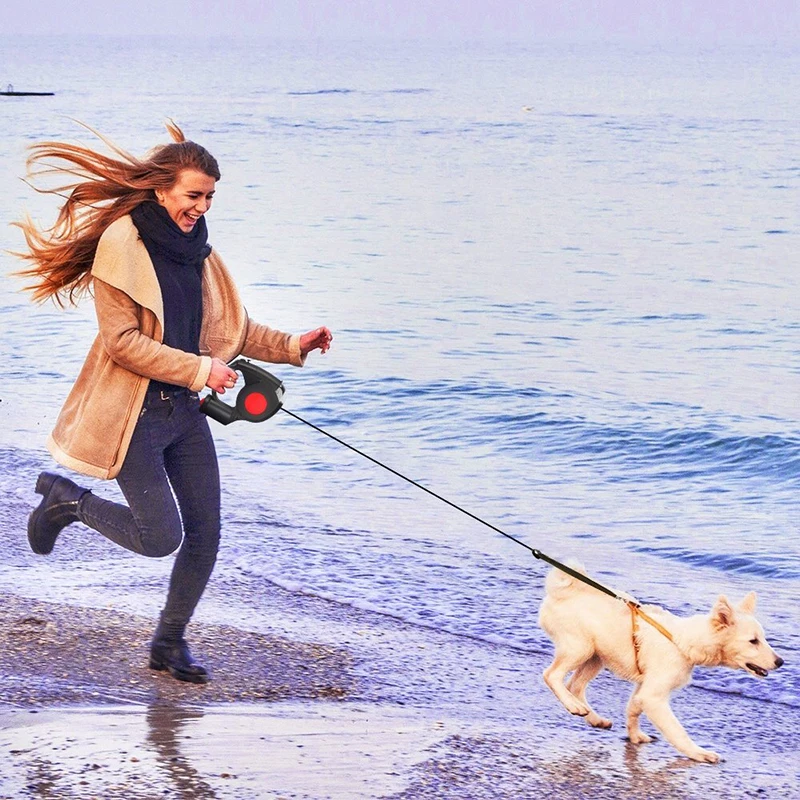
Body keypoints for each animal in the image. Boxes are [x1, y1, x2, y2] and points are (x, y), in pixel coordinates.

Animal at [536, 564, 780, 764]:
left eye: (762, 638)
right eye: (753, 641)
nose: (781, 661)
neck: (683, 641)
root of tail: (562, 592)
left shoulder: (644, 689)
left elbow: (633, 710)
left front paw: (635, 736)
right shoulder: (654, 696)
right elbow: (677, 730)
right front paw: (698, 753)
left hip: (597, 656)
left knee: (575, 685)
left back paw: (593, 717)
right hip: (580, 648)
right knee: (552, 675)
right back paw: (573, 706)